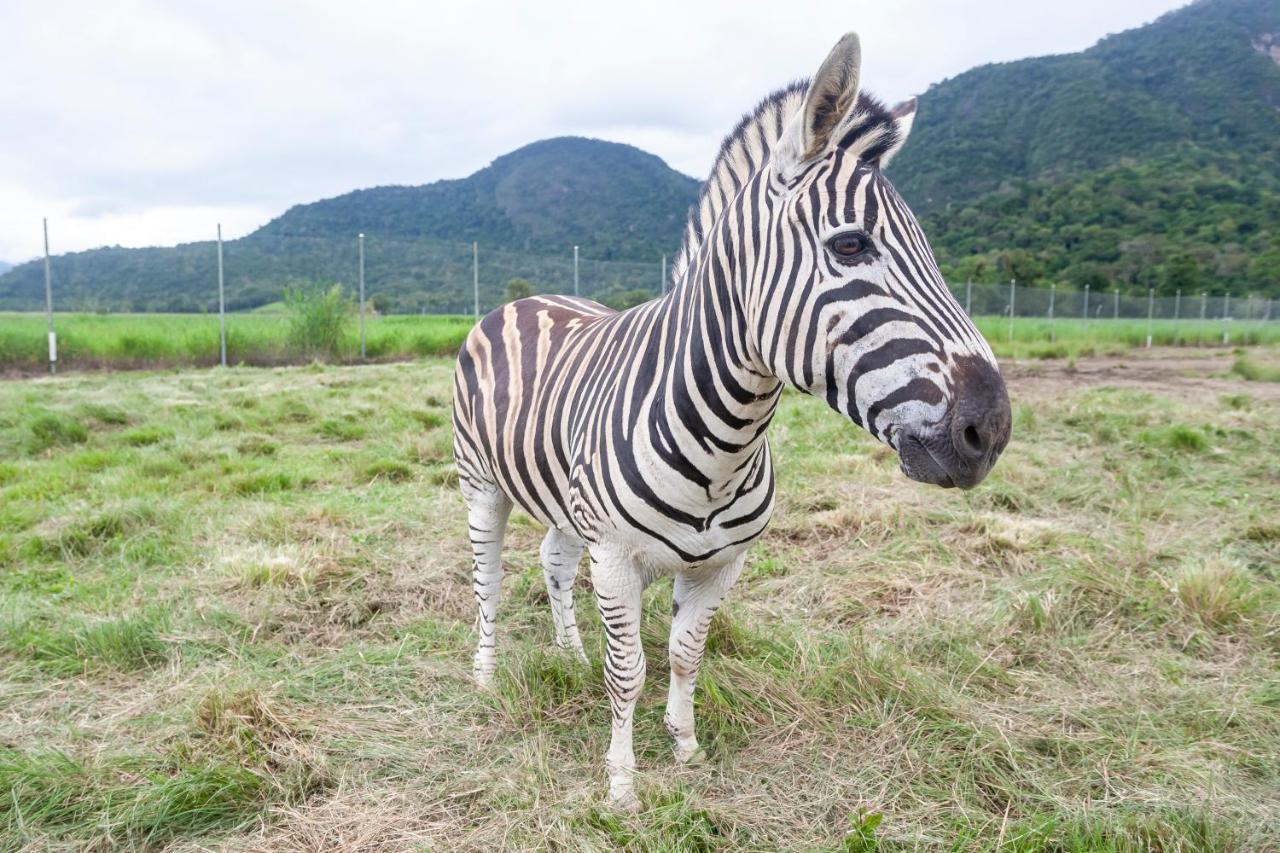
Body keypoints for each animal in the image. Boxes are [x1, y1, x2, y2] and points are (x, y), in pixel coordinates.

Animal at [450, 29, 1008, 809]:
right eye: (850, 245)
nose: (991, 429)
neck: (726, 443)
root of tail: (523, 300)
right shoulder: (615, 557)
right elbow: (631, 669)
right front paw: (622, 781)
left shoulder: (722, 563)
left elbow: (686, 654)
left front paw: (685, 746)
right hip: (481, 484)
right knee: (491, 577)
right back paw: (486, 673)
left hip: (562, 496)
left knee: (553, 563)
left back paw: (570, 652)